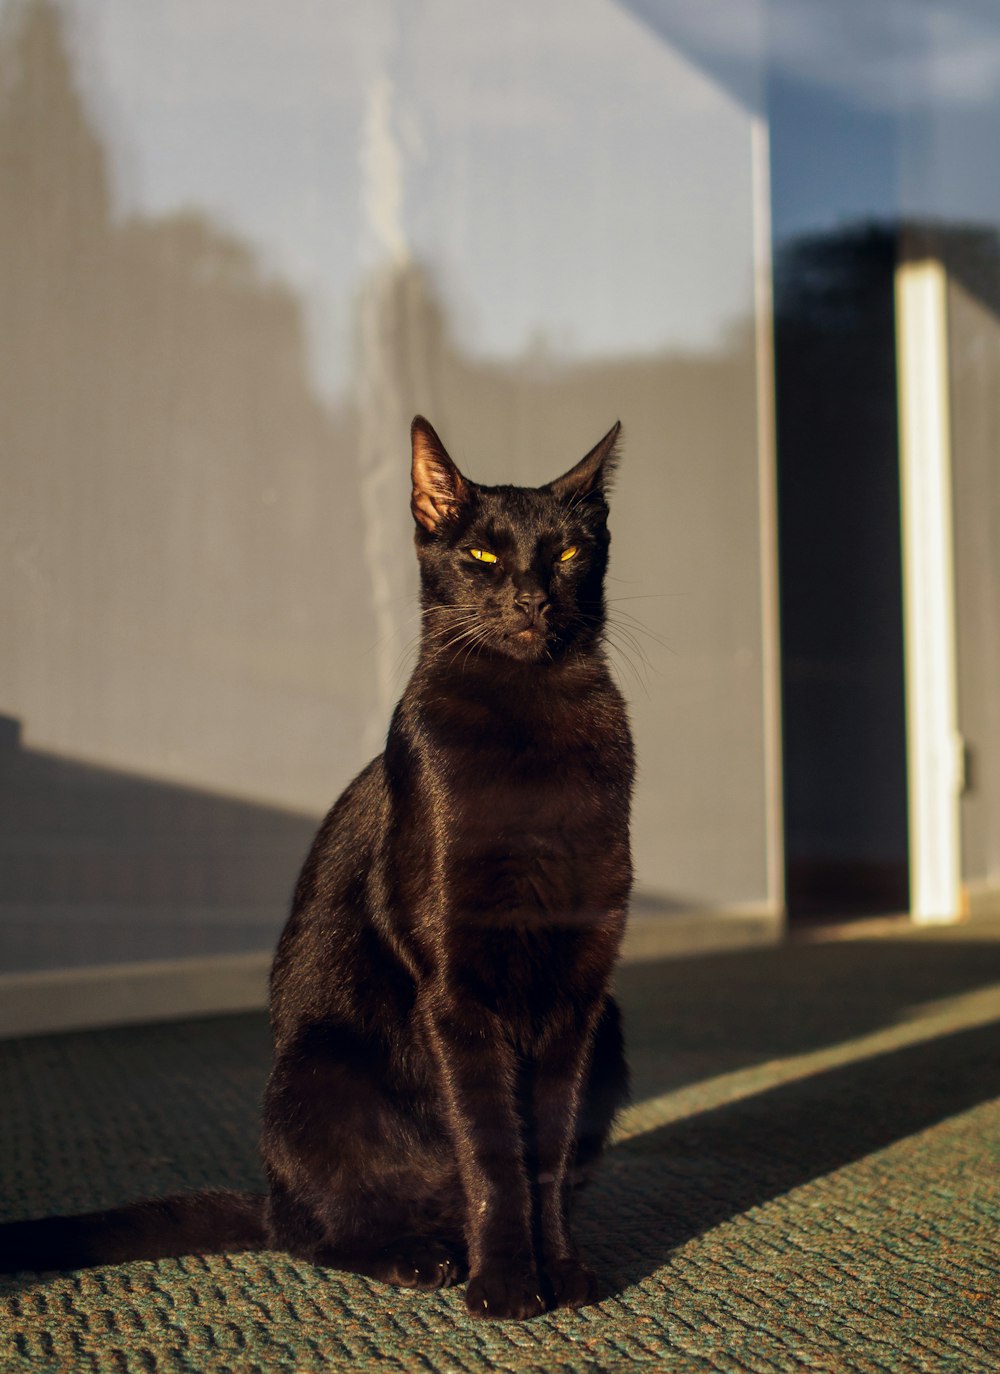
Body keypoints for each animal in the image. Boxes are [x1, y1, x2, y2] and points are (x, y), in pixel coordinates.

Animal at [0, 414, 637, 1319]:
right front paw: (509, 1286)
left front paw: (563, 1272)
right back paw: (422, 1259)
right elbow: (493, 1156)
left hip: (610, 1028)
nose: (531, 599)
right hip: (313, 1076)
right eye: (482, 555)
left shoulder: (578, 992)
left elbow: (545, 1152)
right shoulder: (456, 992)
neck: (531, 727)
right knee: (313, 1234)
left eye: (571, 553)